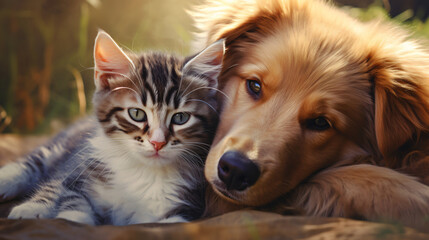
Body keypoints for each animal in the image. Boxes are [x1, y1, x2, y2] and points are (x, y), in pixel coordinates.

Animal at [1, 31, 224, 225]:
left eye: (180, 117)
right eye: (136, 114)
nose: (157, 142)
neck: (142, 170)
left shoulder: (179, 207)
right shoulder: (77, 173)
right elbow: (70, 198)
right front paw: (73, 217)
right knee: (36, 167)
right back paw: (28, 203)